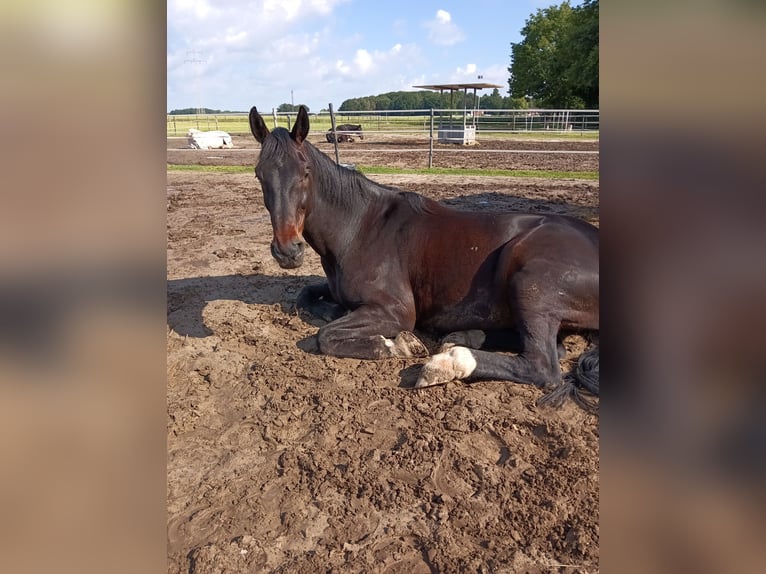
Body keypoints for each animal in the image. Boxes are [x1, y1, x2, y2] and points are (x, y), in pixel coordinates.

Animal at [252, 103, 600, 410]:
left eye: (305, 172)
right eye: (259, 174)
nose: (287, 250)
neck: (360, 227)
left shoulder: (396, 311)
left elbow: (325, 336)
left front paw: (397, 345)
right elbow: (306, 295)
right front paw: (331, 310)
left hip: (530, 285)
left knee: (543, 365)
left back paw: (448, 362)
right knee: (553, 348)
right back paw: (464, 336)